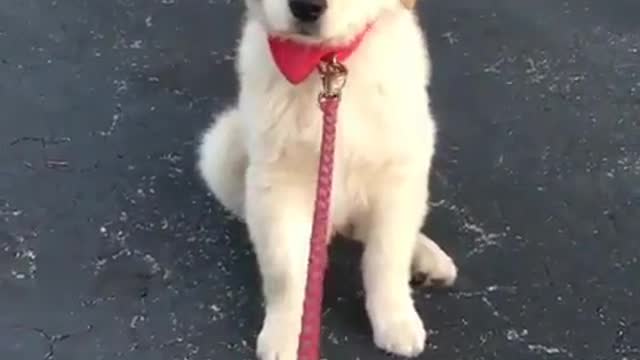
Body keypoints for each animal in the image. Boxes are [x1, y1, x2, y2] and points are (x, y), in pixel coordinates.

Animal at [198, 0, 458, 358]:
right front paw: (285, 334)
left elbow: (386, 258)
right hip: (222, 147)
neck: (326, 67)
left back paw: (426, 258)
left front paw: (396, 320)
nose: (306, 7)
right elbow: (285, 271)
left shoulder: (399, 172)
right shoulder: (276, 183)